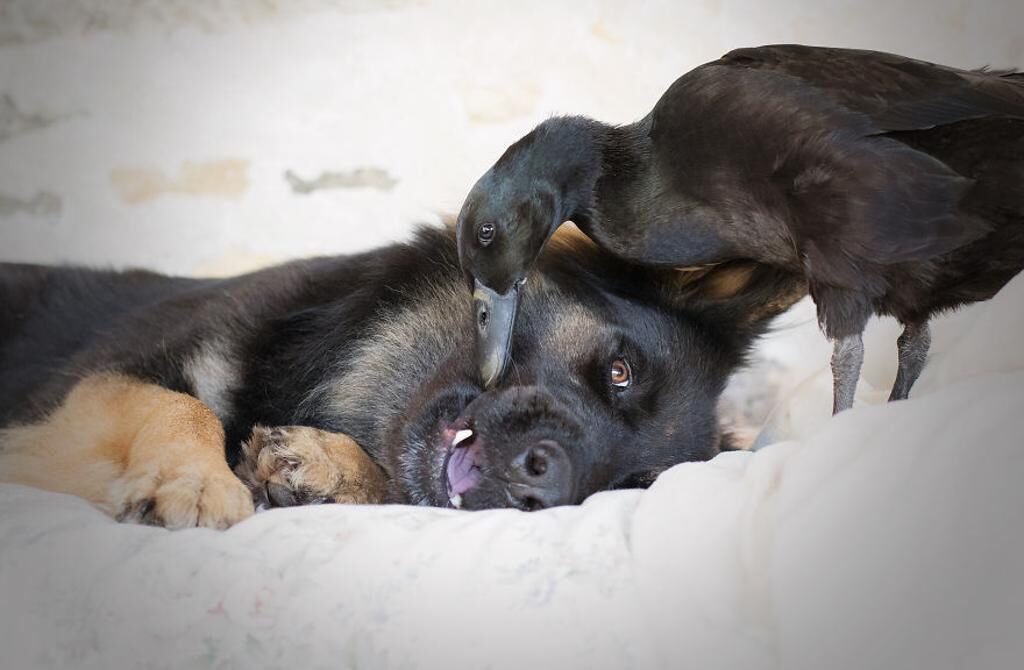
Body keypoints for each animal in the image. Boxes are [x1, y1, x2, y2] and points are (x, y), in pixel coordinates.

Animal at [0, 225, 798, 528]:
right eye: (621, 369)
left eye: (627, 487)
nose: (543, 488)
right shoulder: (70, 401)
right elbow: (181, 406)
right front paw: (193, 481)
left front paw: (328, 466)